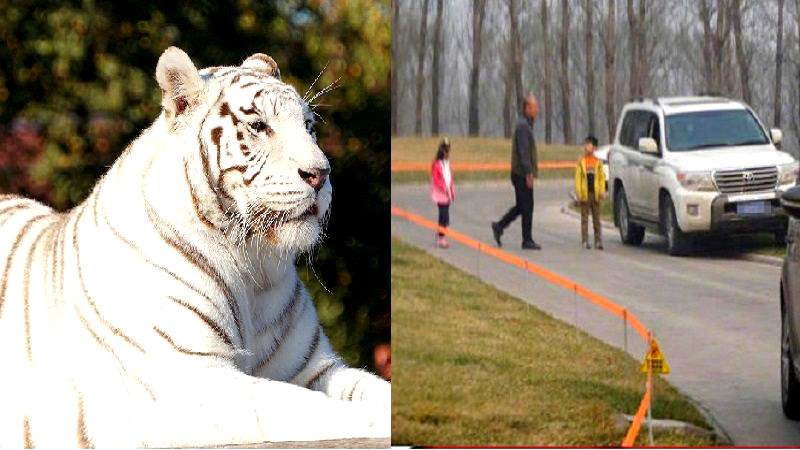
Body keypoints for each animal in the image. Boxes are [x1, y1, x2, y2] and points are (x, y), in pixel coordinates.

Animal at [0, 45, 390, 446]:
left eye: (309, 127)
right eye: (259, 126)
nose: (321, 175)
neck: (252, 266)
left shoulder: (315, 368)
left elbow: (375, 389)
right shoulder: (196, 380)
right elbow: (307, 407)